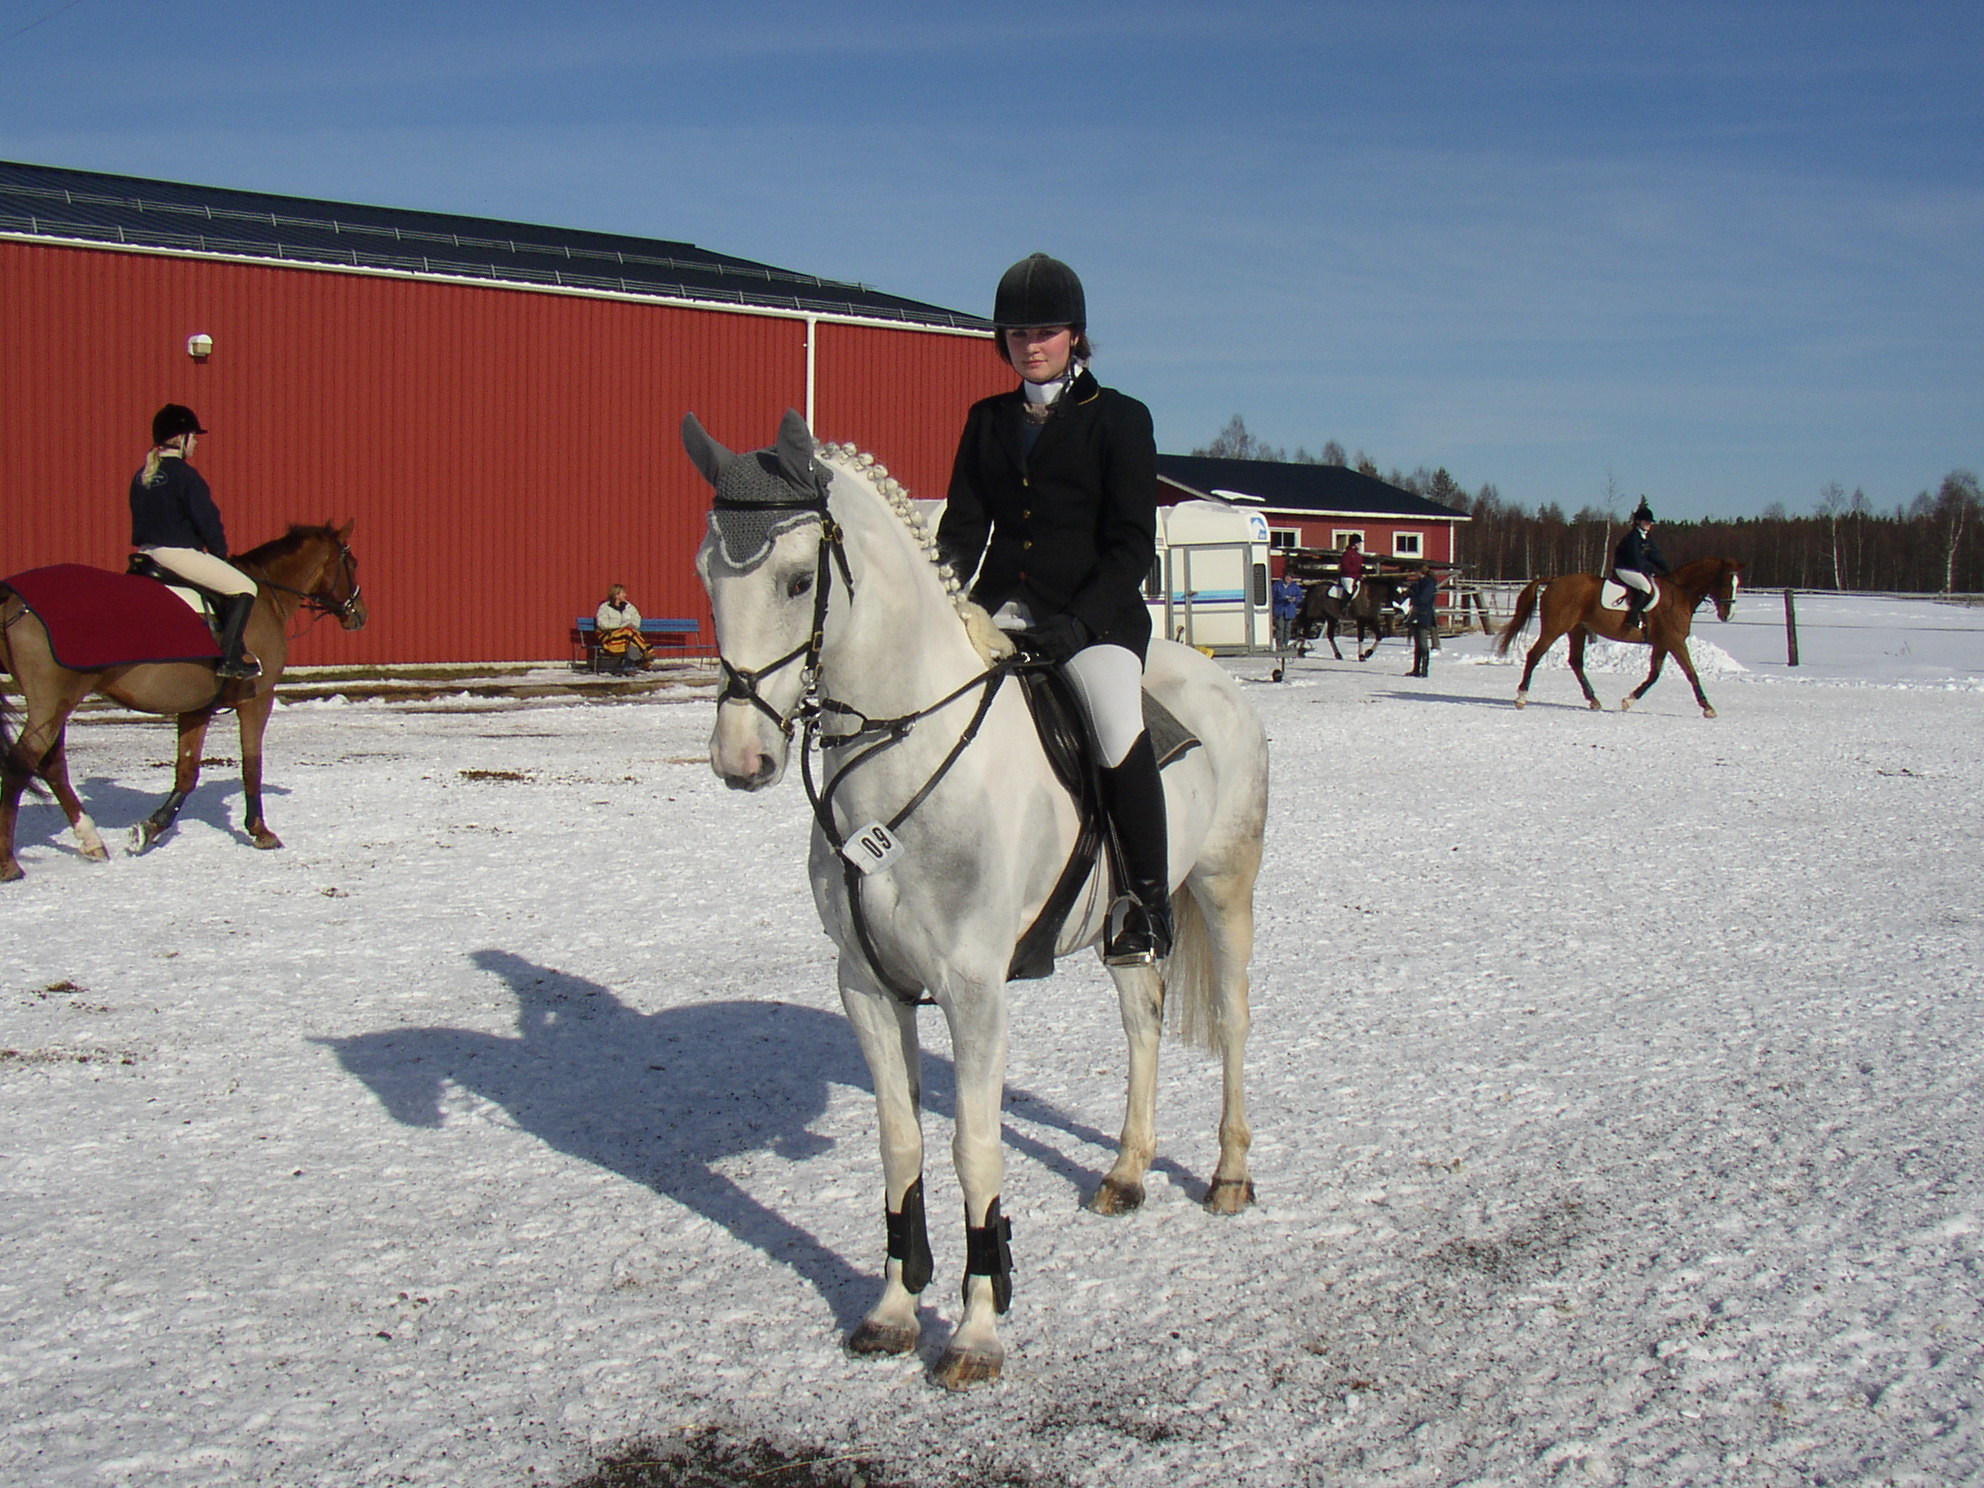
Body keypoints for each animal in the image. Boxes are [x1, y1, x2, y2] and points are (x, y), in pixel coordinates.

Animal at [1, 523, 367, 880]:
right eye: (352, 563)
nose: (360, 615)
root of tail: (15, 600)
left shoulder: (197, 708)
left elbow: (187, 773)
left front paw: (149, 830)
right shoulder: (258, 700)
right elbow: (252, 765)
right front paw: (260, 831)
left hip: (57, 705)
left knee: (52, 766)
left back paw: (91, 842)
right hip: (52, 703)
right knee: (22, 764)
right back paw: (9, 863)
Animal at [686, 404, 1269, 1388]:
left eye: (799, 578)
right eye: (705, 575)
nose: (742, 760)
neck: (907, 751)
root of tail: (1214, 677)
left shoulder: (973, 989)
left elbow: (974, 1145)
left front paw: (976, 1329)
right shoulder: (867, 985)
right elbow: (901, 1142)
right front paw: (891, 1310)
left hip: (1224, 884)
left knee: (1229, 1020)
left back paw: (1227, 1177)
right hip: (1122, 929)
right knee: (1143, 1019)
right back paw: (1126, 1173)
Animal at [1491, 559, 1745, 722]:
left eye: (1737, 584)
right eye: (1726, 582)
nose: (1727, 615)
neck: (1679, 593)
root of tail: (1554, 580)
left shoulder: (1662, 643)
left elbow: (1654, 675)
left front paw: (1628, 701)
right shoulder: (1675, 642)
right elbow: (1691, 673)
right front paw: (1708, 708)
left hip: (1577, 630)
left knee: (1576, 662)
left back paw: (1594, 701)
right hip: (1555, 628)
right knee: (1534, 655)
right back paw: (1521, 698)